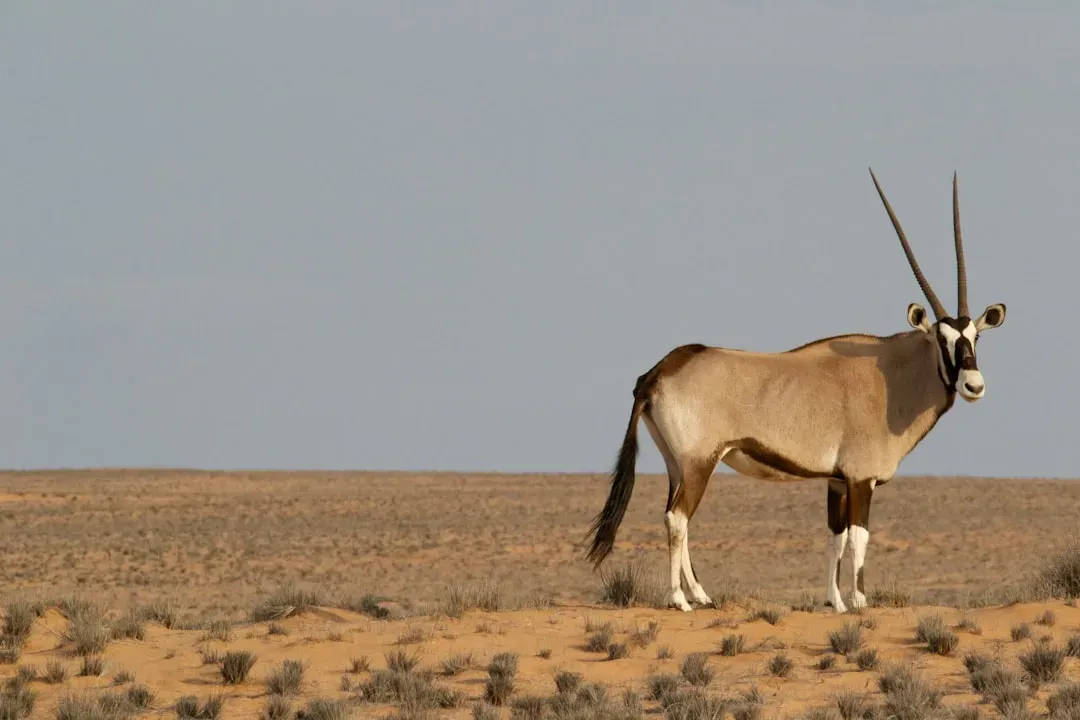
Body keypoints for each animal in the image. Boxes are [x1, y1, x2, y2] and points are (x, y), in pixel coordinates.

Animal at [584, 169, 1007, 613]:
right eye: (941, 340)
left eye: (975, 337)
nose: (973, 385)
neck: (891, 374)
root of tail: (658, 371)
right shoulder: (861, 479)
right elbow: (859, 538)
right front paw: (859, 601)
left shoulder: (836, 480)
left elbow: (836, 537)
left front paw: (835, 602)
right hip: (700, 462)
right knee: (678, 518)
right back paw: (680, 599)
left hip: (676, 465)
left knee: (674, 515)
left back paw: (701, 594)